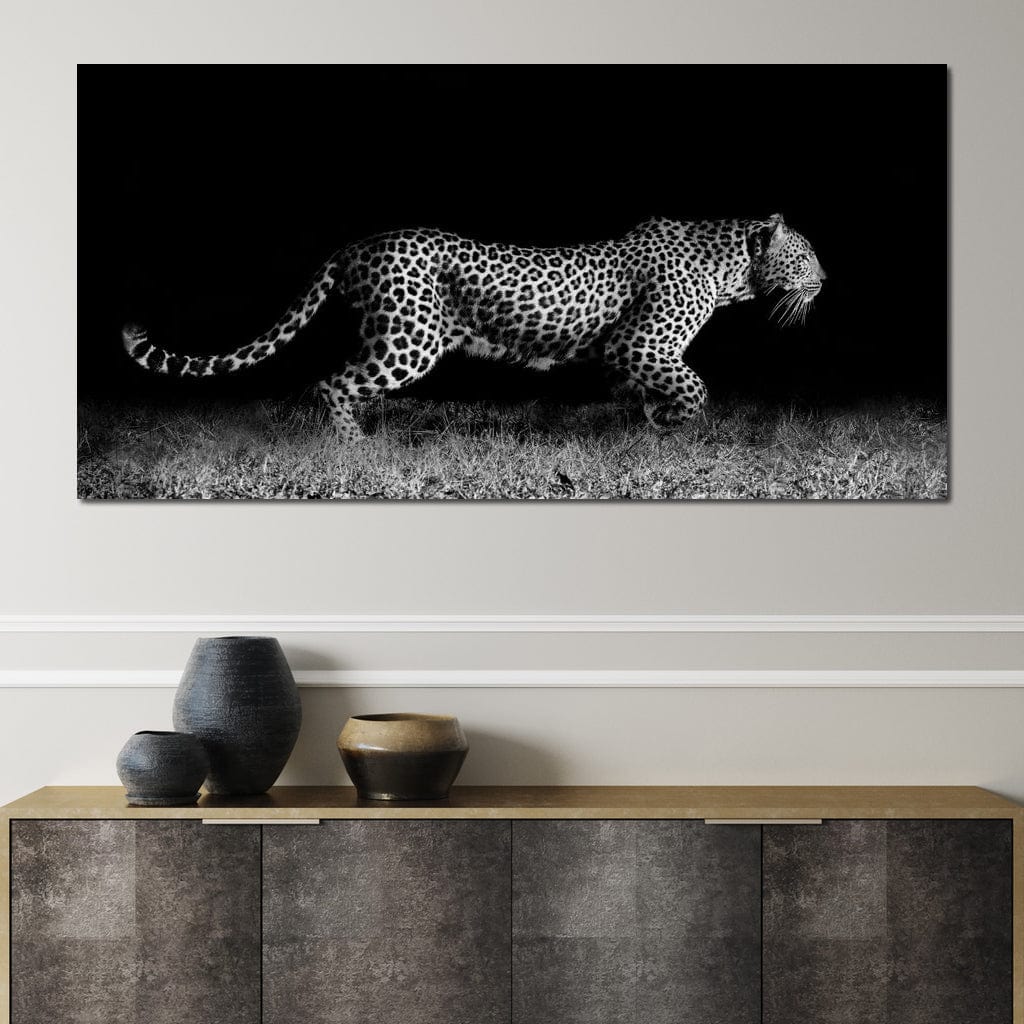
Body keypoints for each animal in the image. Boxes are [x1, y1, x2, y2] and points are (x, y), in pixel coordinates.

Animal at [122, 213, 825, 440]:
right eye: (808, 254)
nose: (827, 279)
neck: (732, 271)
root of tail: (355, 244)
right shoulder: (638, 344)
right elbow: (695, 387)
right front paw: (675, 425)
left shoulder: (629, 355)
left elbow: (655, 391)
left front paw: (654, 425)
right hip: (410, 338)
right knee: (332, 382)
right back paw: (355, 447)